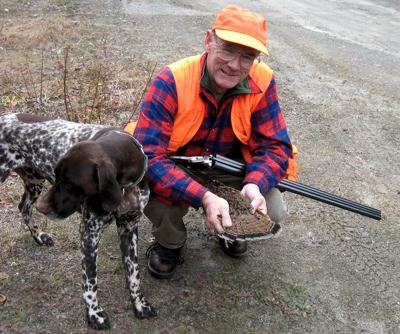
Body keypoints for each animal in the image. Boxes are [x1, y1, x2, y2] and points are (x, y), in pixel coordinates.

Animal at [0, 112, 156, 328]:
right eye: (56, 174)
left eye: (70, 182)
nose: (42, 208)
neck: (126, 188)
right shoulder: (89, 234)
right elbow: (90, 282)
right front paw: (94, 314)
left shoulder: (129, 228)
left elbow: (134, 275)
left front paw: (139, 305)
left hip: (34, 182)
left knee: (23, 207)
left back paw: (39, 236)